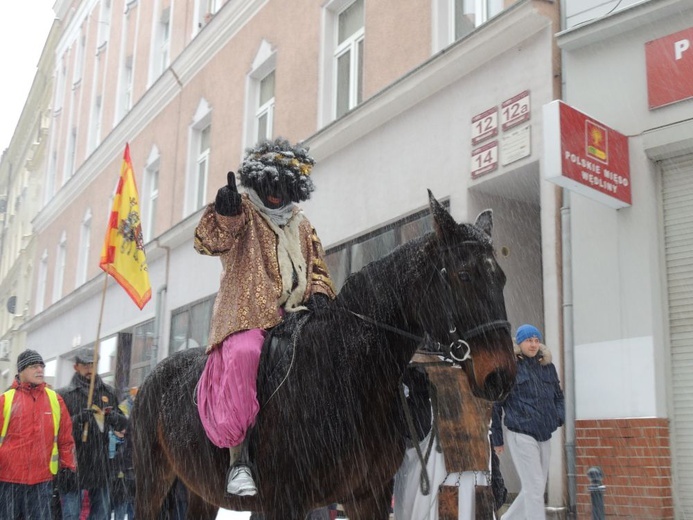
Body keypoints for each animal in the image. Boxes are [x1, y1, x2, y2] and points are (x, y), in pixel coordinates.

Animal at [132, 192, 516, 520]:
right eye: (463, 275)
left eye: (501, 277)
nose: (500, 376)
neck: (344, 375)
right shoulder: (285, 502)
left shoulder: (369, 494)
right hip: (152, 481)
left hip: (199, 490)